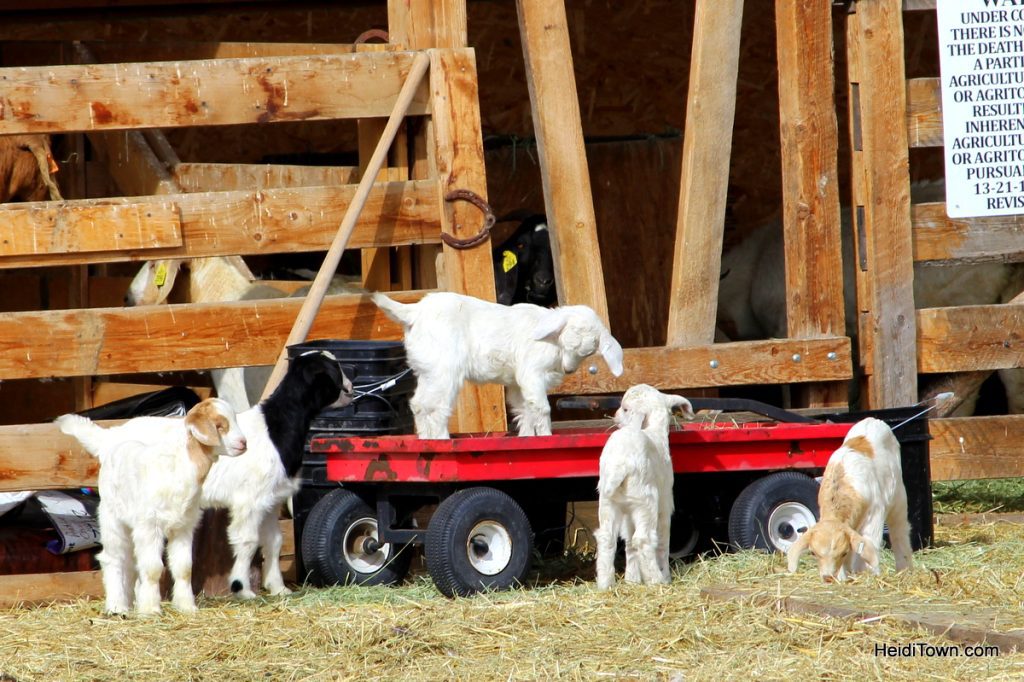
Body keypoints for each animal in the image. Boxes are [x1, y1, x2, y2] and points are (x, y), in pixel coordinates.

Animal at [56, 395, 245, 614]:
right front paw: (150, 610)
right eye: (219, 425)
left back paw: (130, 602)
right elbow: (154, 569)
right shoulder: (149, 525)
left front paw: (186, 606)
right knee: (114, 558)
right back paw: (116, 606)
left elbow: (184, 568)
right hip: (111, 516)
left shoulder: (183, 526)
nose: (243, 443)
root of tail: (110, 442)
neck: (180, 466)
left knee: (131, 563)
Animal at [370, 288, 622, 438]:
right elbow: (541, 408)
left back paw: (425, 439)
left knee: (419, 404)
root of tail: (414, 312)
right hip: (446, 372)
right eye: (566, 342)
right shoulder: (531, 374)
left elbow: (524, 410)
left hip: (428, 368)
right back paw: (442, 440)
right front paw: (546, 437)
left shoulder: (518, 384)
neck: (552, 341)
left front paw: (527, 437)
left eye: (588, 353)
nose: (569, 369)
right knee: (437, 407)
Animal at [593, 382, 696, 589]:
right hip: (646, 500)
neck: (654, 431)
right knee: (643, 539)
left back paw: (606, 584)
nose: (615, 416)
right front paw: (665, 575)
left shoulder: (627, 512)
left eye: (625, 409)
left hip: (608, 501)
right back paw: (657, 580)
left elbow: (628, 543)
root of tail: (621, 464)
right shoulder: (665, 503)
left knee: (607, 537)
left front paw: (632, 579)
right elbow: (663, 541)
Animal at [782, 417, 913, 581]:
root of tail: (873, 420)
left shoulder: (875, 515)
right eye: (813, 553)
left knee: (899, 532)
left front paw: (868, 574)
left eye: (843, 553)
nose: (828, 577)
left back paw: (904, 569)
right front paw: (845, 577)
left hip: (898, 498)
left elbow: (870, 543)